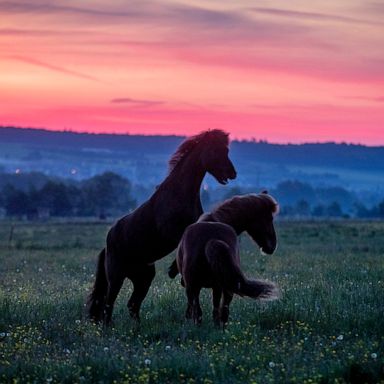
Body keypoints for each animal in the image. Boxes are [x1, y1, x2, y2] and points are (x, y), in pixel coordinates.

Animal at [87, 130, 237, 324]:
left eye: (226, 150)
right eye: (215, 150)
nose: (232, 173)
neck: (180, 193)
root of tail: (107, 245)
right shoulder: (172, 232)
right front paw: (174, 270)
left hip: (143, 278)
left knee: (132, 304)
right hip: (116, 275)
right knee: (108, 304)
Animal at [176, 192, 280, 328]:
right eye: (269, 218)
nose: (272, 246)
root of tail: (212, 239)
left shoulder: (192, 287)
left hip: (204, 286)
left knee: (205, 311)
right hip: (217, 286)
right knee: (218, 311)